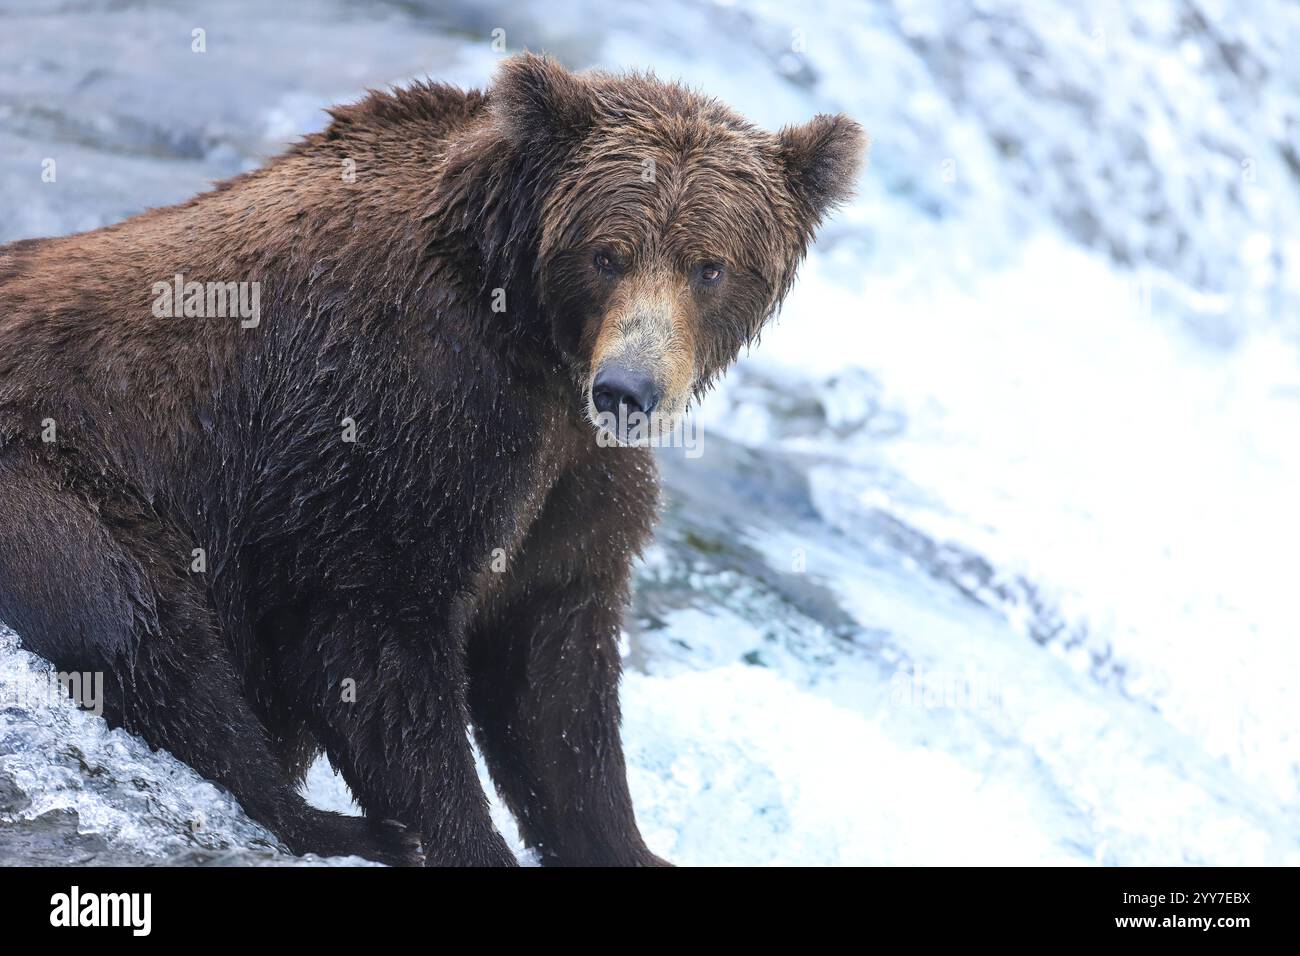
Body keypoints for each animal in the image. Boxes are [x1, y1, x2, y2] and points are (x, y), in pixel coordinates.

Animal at [0, 54, 864, 866]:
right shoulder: (404, 410)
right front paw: (461, 838)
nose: (630, 389)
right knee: (135, 620)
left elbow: (552, 678)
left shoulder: (569, 473)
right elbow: (371, 632)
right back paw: (337, 825)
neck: (531, 333)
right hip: (60, 476)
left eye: (708, 266)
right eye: (608, 254)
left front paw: (626, 843)